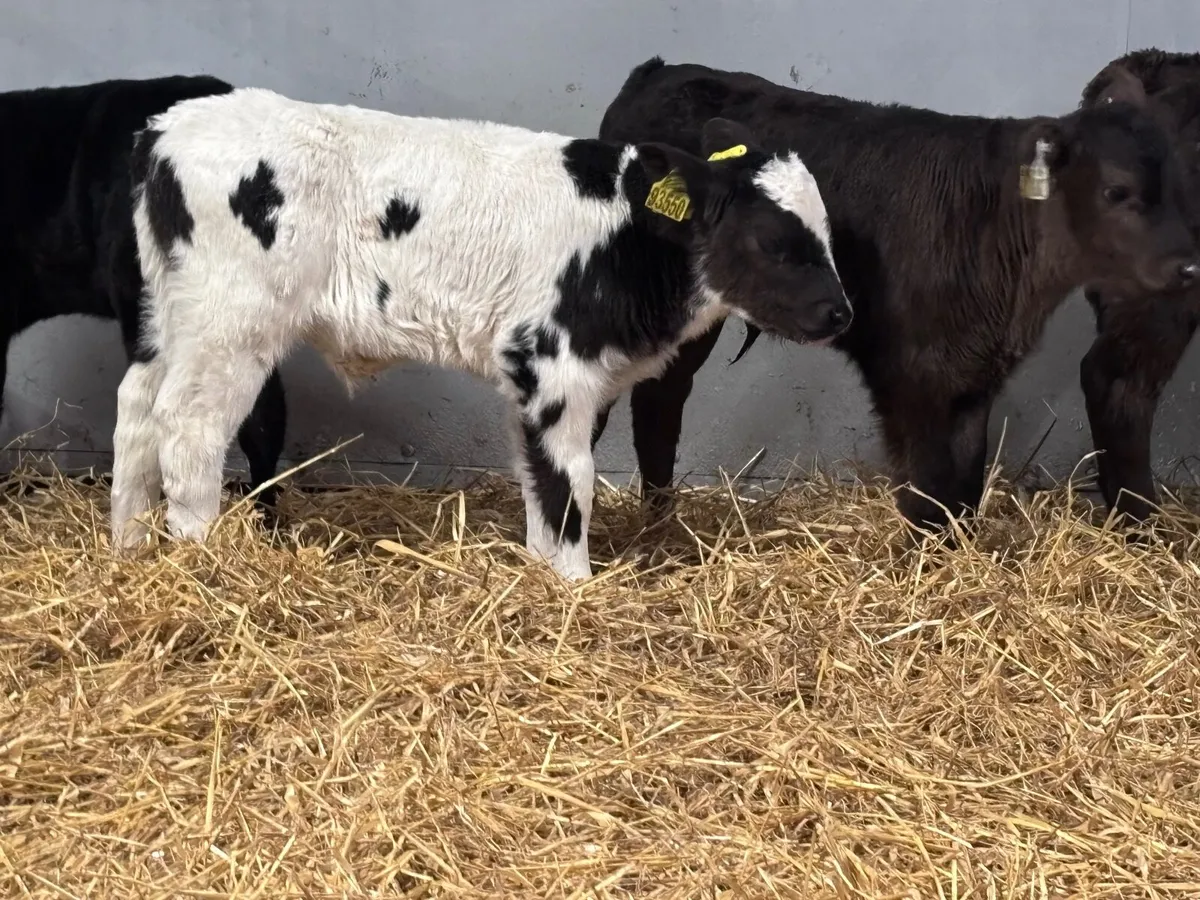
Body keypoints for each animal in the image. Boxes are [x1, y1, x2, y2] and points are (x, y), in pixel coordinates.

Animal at [106, 86, 851, 580]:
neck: (627, 239)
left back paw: (129, 549)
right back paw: (202, 563)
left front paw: (543, 573)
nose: (841, 314)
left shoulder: (552, 379)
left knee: (136, 409)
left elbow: (540, 477)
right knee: (189, 428)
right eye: (775, 242)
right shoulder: (551, 363)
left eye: (827, 233)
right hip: (231, 323)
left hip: (169, 315)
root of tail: (165, 129)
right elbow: (571, 480)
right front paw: (575, 587)